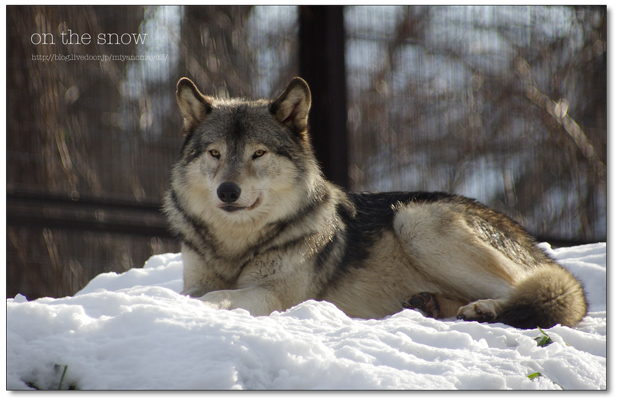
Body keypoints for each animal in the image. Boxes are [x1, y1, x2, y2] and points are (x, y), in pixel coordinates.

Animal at [162, 76, 588, 328]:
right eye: (215, 154)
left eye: (258, 154)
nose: (227, 191)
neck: (236, 245)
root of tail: (535, 245)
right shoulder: (199, 276)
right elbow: (195, 290)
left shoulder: (275, 295)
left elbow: (218, 296)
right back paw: (430, 305)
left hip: (415, 221)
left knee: (526, 289)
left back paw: (484, 308)